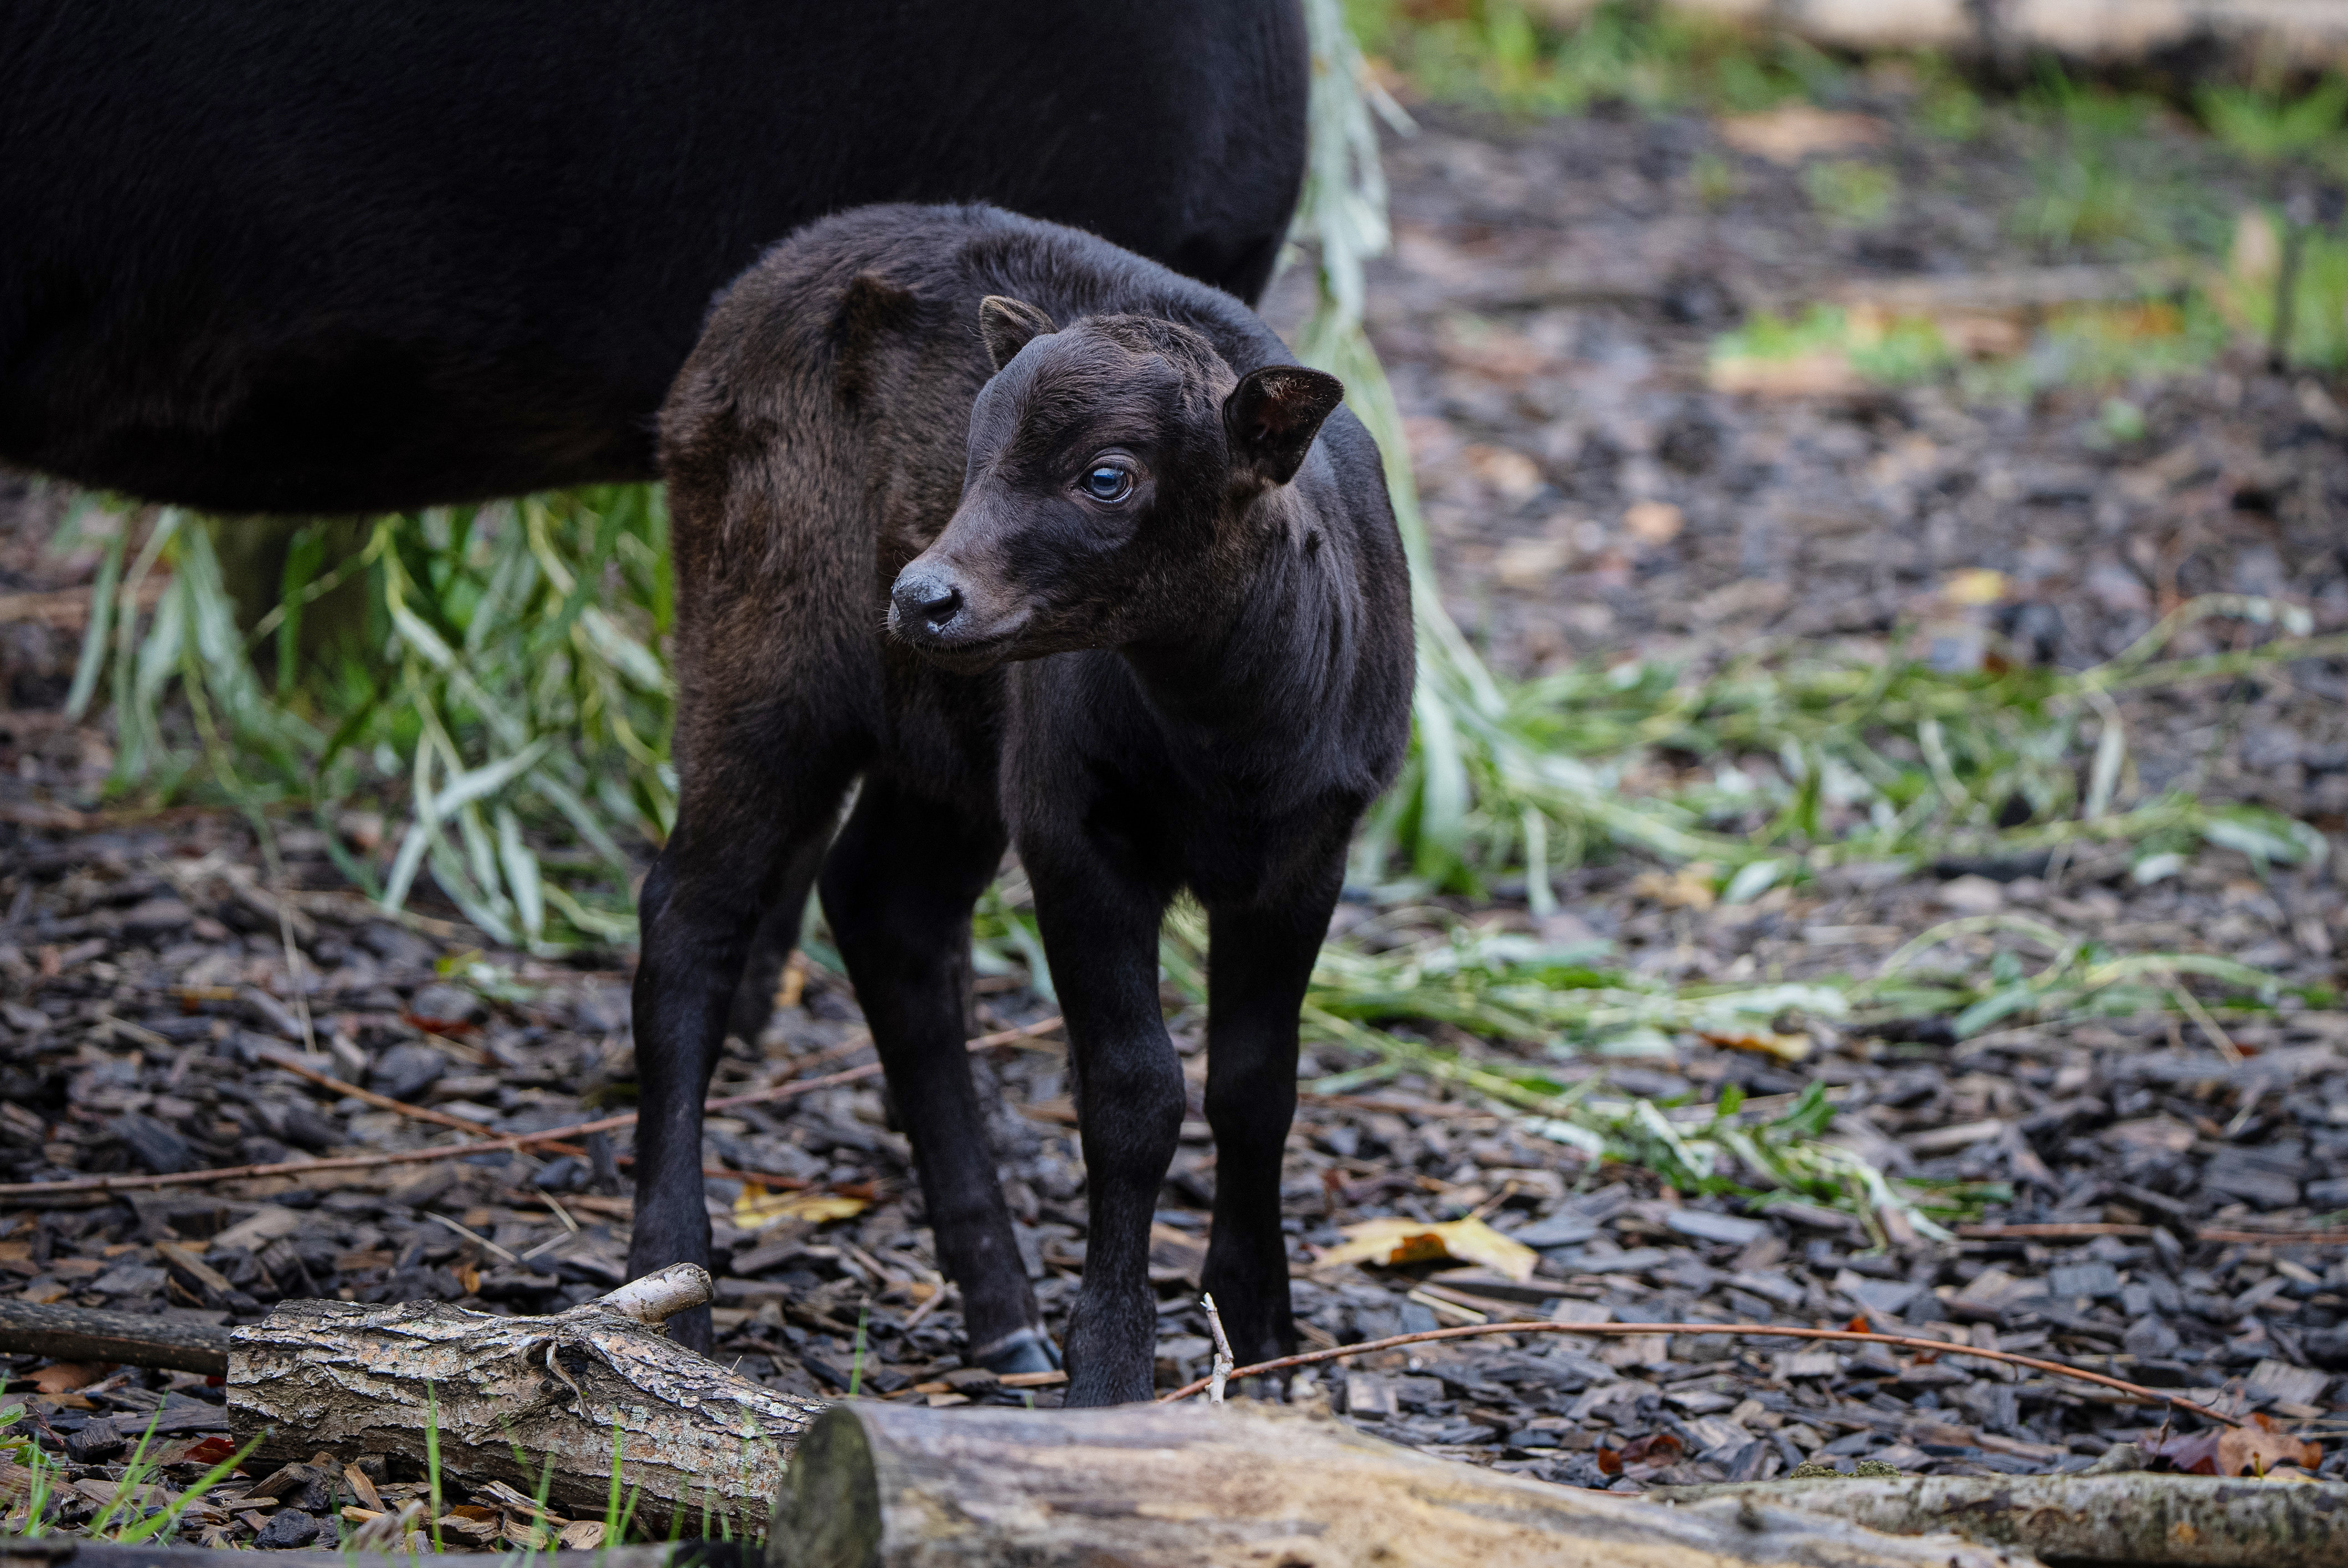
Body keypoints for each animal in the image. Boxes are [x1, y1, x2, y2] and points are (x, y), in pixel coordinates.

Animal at [639, 202, 1408, 1399]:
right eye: (972, 456)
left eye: (1107, 477)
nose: (922, 595)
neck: (1229, 744)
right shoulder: (1071, 830)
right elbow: (1133, 1095)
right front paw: (1112, 1372)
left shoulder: (1310, 852)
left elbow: (1256, 1084)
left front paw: (1260, 1329)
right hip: (758, 652)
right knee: (690, 919)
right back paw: (674, 1288)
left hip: (946, 740)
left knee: (885, 912)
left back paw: (1001, 1315)